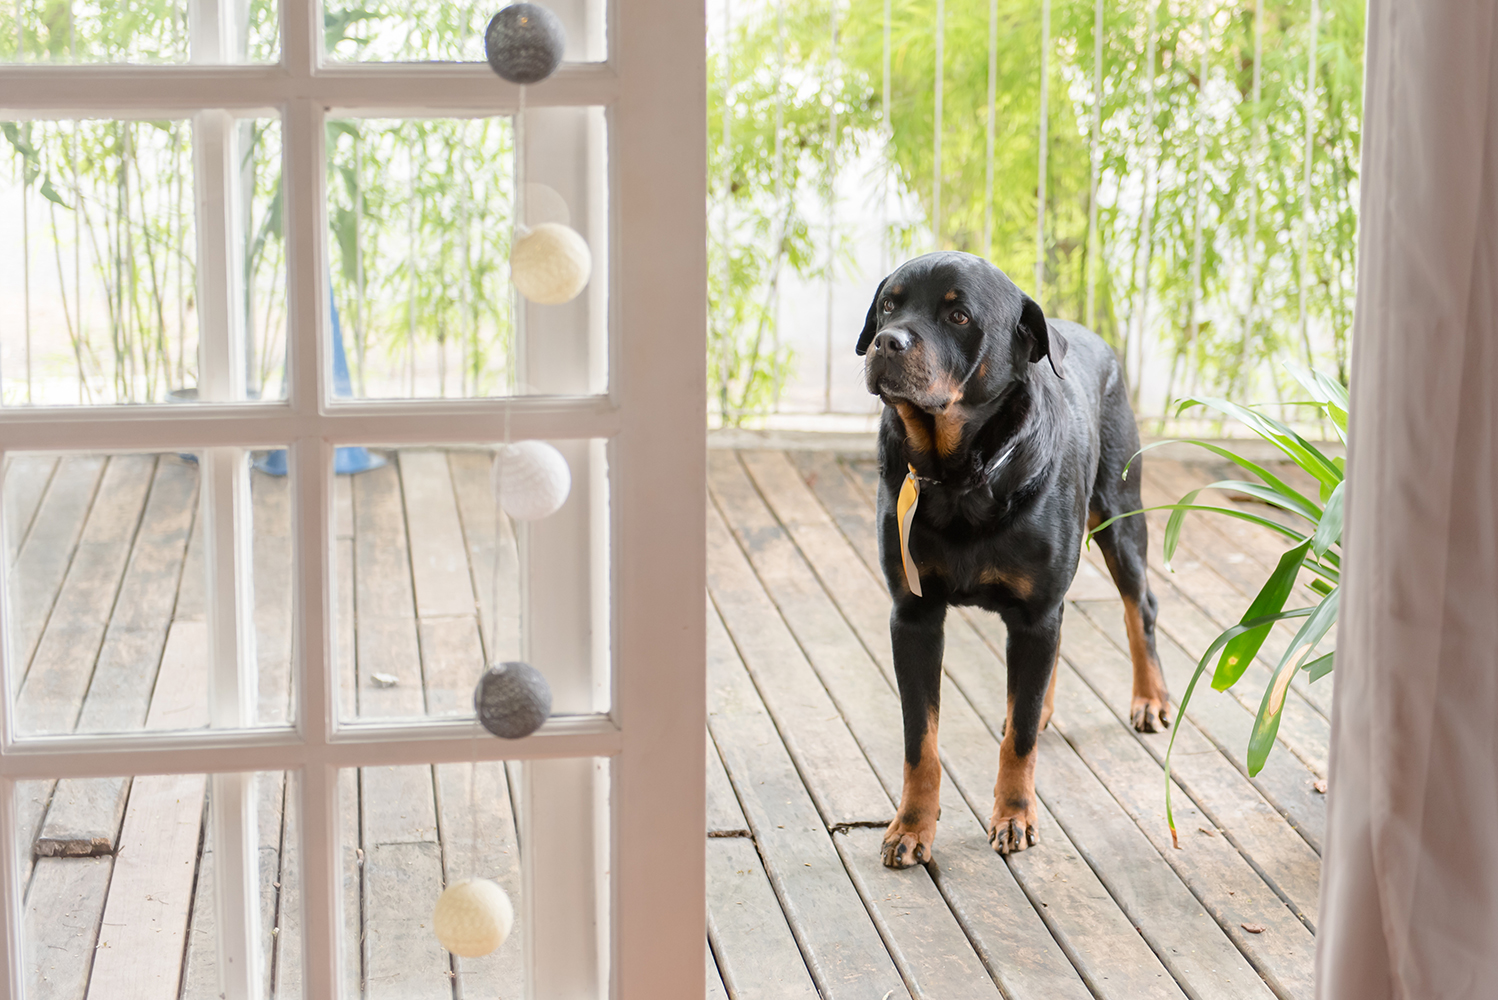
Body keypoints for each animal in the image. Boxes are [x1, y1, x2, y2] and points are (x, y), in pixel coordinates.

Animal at [856, 249, 1168, 868]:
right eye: (888, 306)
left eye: (958, 317)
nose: (886, 343)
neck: (960, 478)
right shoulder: (913, 615)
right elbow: (919, 740)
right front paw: (911, 826)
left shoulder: (1034, 610)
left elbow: (1019, 741)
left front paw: (1016, 815)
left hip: (1120, 518)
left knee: (1139, 605)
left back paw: (1149, 697)